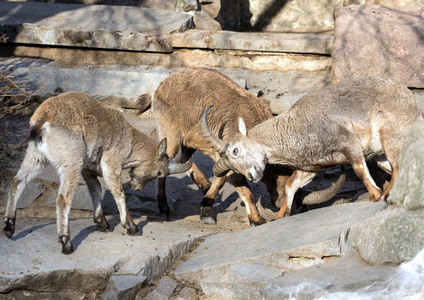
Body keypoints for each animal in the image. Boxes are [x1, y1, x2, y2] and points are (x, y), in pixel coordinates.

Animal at [2, 92, 192, 254]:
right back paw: (66, 242)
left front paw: (102, 223)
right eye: (159, 172)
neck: (129, 140)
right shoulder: (110, 164)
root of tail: (42, 121)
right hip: (71, 161)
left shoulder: (87, 169)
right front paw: (131, 227)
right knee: (63, 198)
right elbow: (119, 192)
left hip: (36, 156)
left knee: (18, 181)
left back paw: (9, 227)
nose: (137, 187)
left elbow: (95, 190)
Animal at [138, 68, 344, 225]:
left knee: (183, 157)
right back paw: (163, 207)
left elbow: (221, 179)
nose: (281, 203)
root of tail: (158, 89)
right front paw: (255, 219)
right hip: (171, 132)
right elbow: (245, 190)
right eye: (281, 180)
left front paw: (206, 208)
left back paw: (203, 184)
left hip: (188, 139)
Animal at [201, 76, 420, 219]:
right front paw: (282, 214)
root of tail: (411, 100)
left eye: (235, 150)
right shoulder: (310, 168)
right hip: (379, 155)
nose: (252, 175)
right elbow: (290, 185)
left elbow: (358, 169)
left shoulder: (349, 143)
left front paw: (376, 196)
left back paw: (386, 194)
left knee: (398, 165)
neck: (298, 126)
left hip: (390, 135)